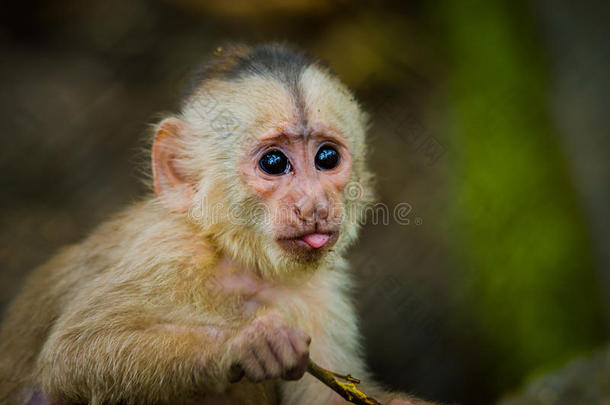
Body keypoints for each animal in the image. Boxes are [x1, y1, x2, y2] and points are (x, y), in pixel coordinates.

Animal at [0, 43, 434, 404]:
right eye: (274, 162)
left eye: (327, 157)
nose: (313, 204)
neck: (242, 263)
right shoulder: (169, 251)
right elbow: (73, 355)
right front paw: (246, 343)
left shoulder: (319, 295)